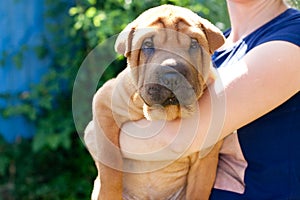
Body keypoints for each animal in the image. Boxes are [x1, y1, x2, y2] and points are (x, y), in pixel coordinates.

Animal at [84, 4, 225, 200]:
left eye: (194, 44)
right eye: (147, 45)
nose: (172, 75)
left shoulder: (205, 158)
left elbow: (199, 189)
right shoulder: (104, 102)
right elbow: (109, 165)